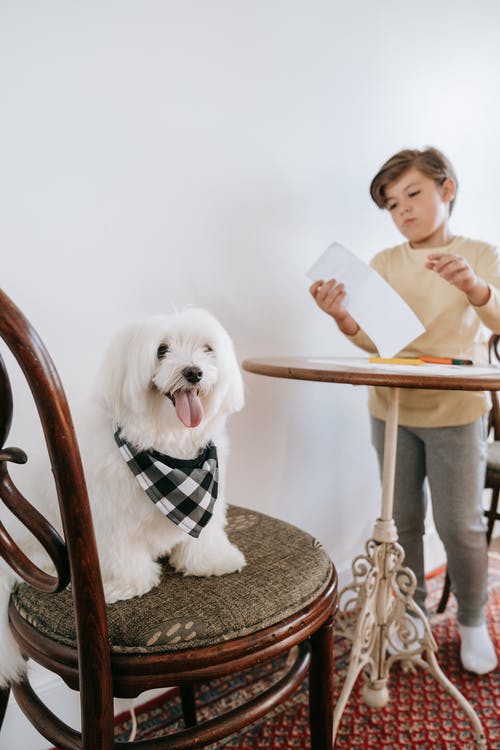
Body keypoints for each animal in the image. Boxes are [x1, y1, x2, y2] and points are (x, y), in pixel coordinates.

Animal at [0, 306, 246, 688]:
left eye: (207, 349)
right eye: (162, 350)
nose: (194, 372)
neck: (168, 448)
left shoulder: (208, 496)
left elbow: (202, 536)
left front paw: (210, 560)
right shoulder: (108, 516)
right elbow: (123, 554)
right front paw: (126, 585)